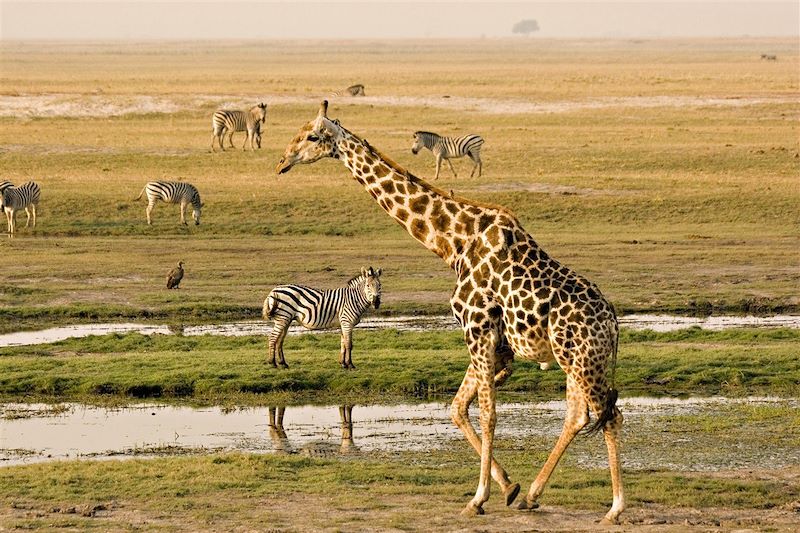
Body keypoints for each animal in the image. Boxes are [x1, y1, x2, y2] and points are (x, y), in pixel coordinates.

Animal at [276, 101, 624, 524]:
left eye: (311, 136)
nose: (282, 161)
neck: (453, 243)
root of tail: (612, 324)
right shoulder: (492, 343)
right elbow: (458, 409)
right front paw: (508, 488)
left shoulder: (478, 328)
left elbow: (487, 414)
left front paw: (478, 498)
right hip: (574, 361)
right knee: (579, 415)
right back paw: (533, 495)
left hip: (584, 361)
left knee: (609, 416)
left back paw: (615, 508)